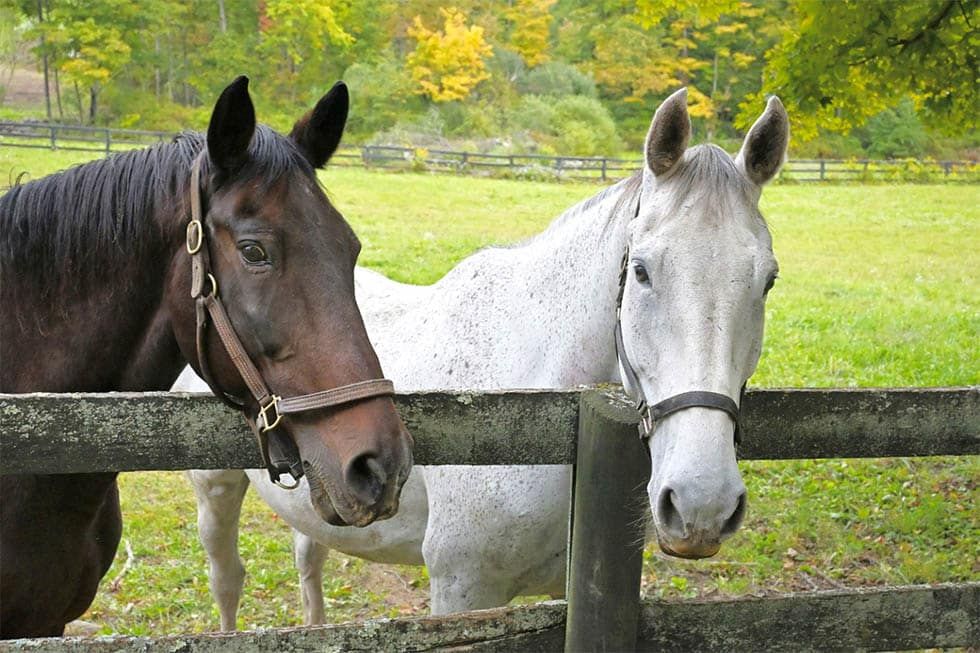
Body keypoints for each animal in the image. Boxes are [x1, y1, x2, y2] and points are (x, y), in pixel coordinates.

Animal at [185, 88, 788, 626]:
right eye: (641, 271)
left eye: (768, 281)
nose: (701, 504)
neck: (541, 408)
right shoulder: (463, 589)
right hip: (216, 486)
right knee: (226, 580)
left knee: (309, 558)